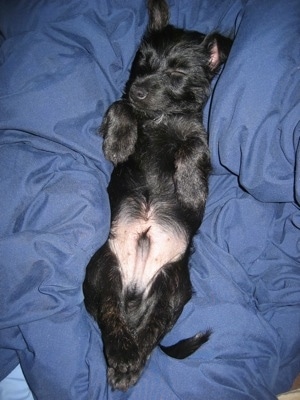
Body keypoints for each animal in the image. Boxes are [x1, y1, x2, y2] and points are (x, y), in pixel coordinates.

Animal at [84, 0, 232, 390]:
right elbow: (119, 106)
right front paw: (119, 142)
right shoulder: (127, 104)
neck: (159, 118)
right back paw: (123, 357)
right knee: (111, 314)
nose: (138, 89)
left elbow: (193, 147)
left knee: (151, 333)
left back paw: (129, 362)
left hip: (171, 288)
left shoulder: (198, 136)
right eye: (142, 61)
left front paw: (192, 190)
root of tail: (135, 291)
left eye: (178, 72)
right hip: (102, 269)